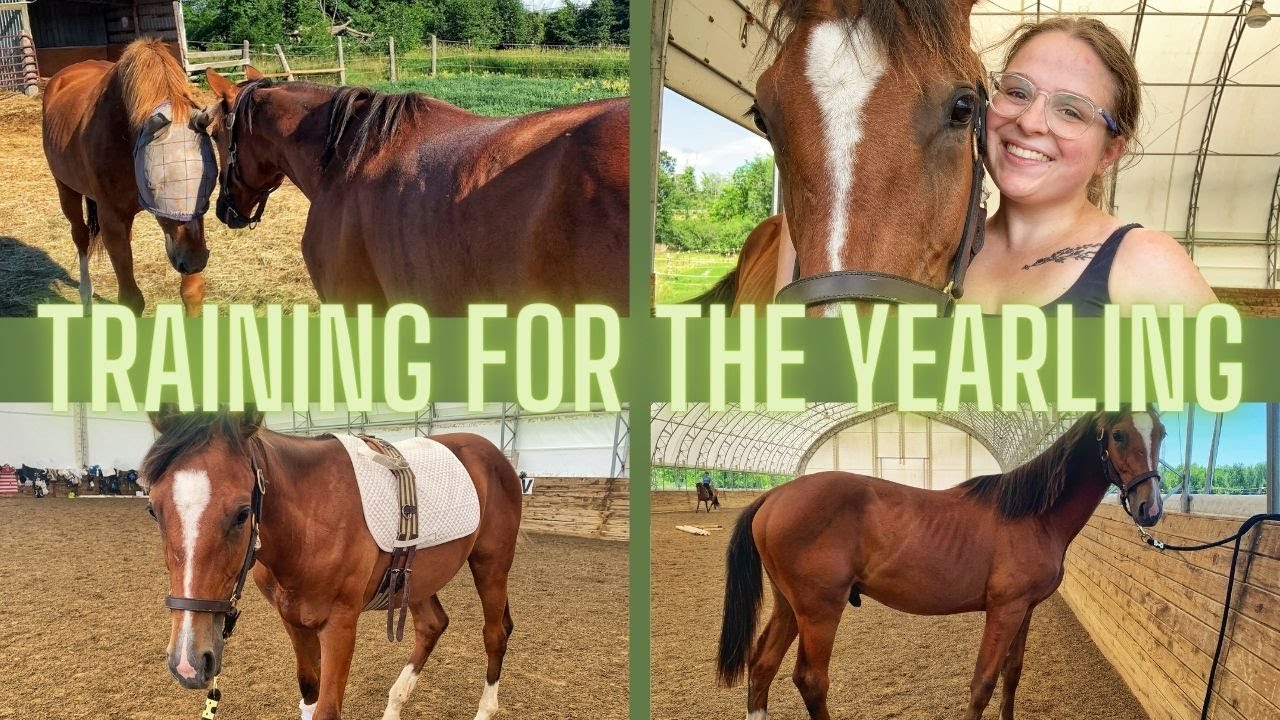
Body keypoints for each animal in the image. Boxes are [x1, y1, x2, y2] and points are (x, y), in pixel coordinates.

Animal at [42, 38, 214, 317]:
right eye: (156, 186)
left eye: (209, 182)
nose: (196, 260)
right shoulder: (112, 220)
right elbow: (131, 300)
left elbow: (192, 292)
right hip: (65, 188)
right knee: (80, 236)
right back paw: (86, 299)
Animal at [142, 409, 522, 720]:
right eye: (153, 510)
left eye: (242, 513)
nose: (187, 663)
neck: (310, 522)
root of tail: (493, 453)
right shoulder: (293, 620)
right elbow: (309, 693)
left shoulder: (339, 625)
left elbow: (327, 709)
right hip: (417, 577)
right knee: (432, 625)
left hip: (491, 564)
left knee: (495, 633)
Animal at [716, 408, 1166, 720]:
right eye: (1119, 434)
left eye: (1160, 432)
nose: (1151, 508)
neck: (1032, 515)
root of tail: (775, 496)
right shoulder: (1004, 610)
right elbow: (983, 683)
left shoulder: (1026, 609)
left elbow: (1012, 673)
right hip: (819, 610)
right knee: (810, 680)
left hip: (788, 606)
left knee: (762, 666)